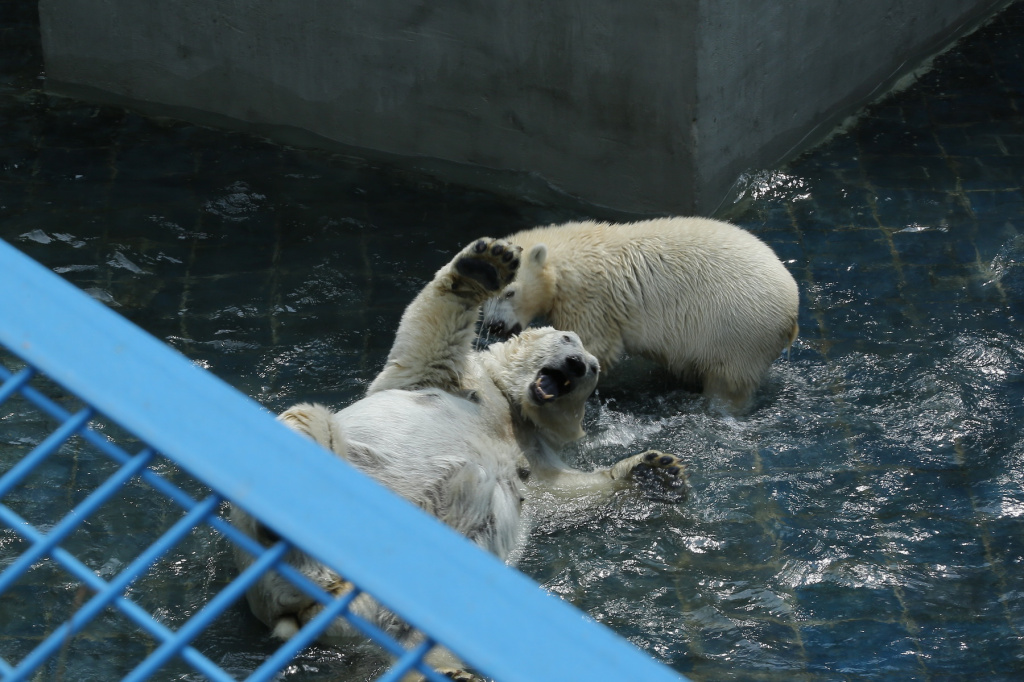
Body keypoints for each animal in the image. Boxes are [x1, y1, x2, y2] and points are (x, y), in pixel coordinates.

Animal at [230, 237, 684, 680]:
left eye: (593, 370)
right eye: (568, 339)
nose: (577, 364)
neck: (510, 409)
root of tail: (310, 601)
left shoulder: (536, 458)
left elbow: (562, 494)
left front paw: (653, 470)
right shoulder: (448, 379)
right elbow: (431, 334)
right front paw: (486, 264)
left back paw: (452, 673)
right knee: (310, 421)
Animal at [481, 217, 800, 409]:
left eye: (510, 292)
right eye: (486, 296)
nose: (495, 326)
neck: (568, 259)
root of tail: (792, 306)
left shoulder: (589, 298)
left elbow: (594, 346)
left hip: (737, 329)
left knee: (727, 381)